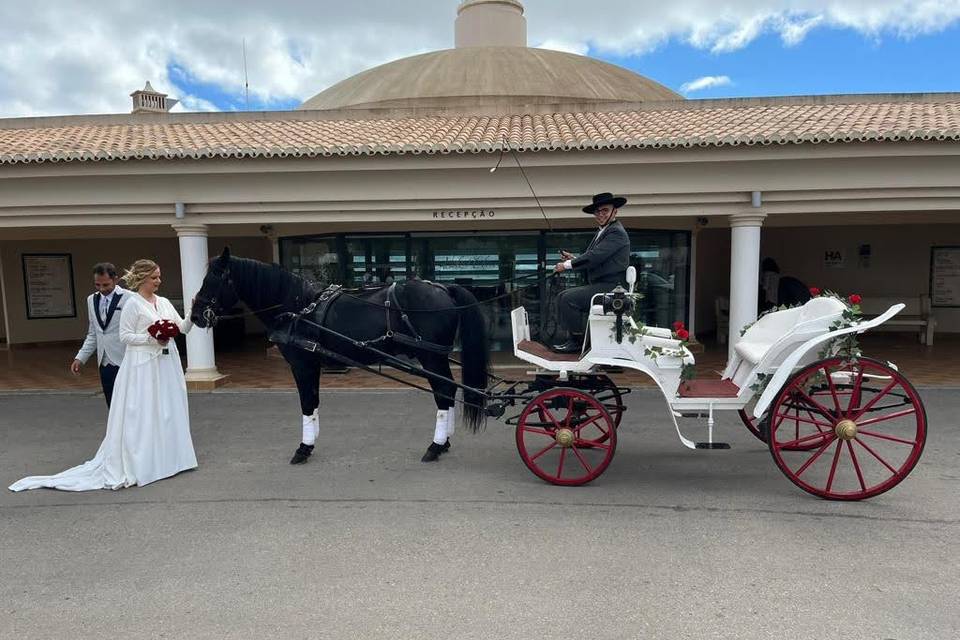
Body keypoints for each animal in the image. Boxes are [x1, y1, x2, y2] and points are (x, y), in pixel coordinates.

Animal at [189, 250, 488, 464]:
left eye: (213, 280)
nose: (195, 316)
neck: (297, 306)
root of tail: (442, 288)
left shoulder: (302, 364)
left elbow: (307, 402)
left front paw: (303, 448)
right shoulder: (312, 363)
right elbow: (314, 402)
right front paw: (311, 441)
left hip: (431, 357)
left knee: (444, 391)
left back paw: (435, 446)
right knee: (447, 392)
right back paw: (444, 442)